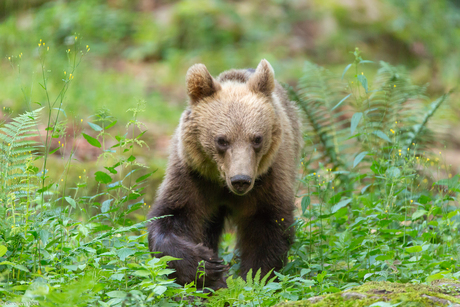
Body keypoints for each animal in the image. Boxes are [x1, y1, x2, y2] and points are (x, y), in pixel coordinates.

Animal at [147, 59, 302, 290]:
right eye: (222, 140)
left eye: (257, 139)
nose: (241, 180)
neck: (221, 183)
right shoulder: (193, 176)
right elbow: (173, 216)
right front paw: (208, 265)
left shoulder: (269, 177)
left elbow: (268, 226)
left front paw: (253, 278)